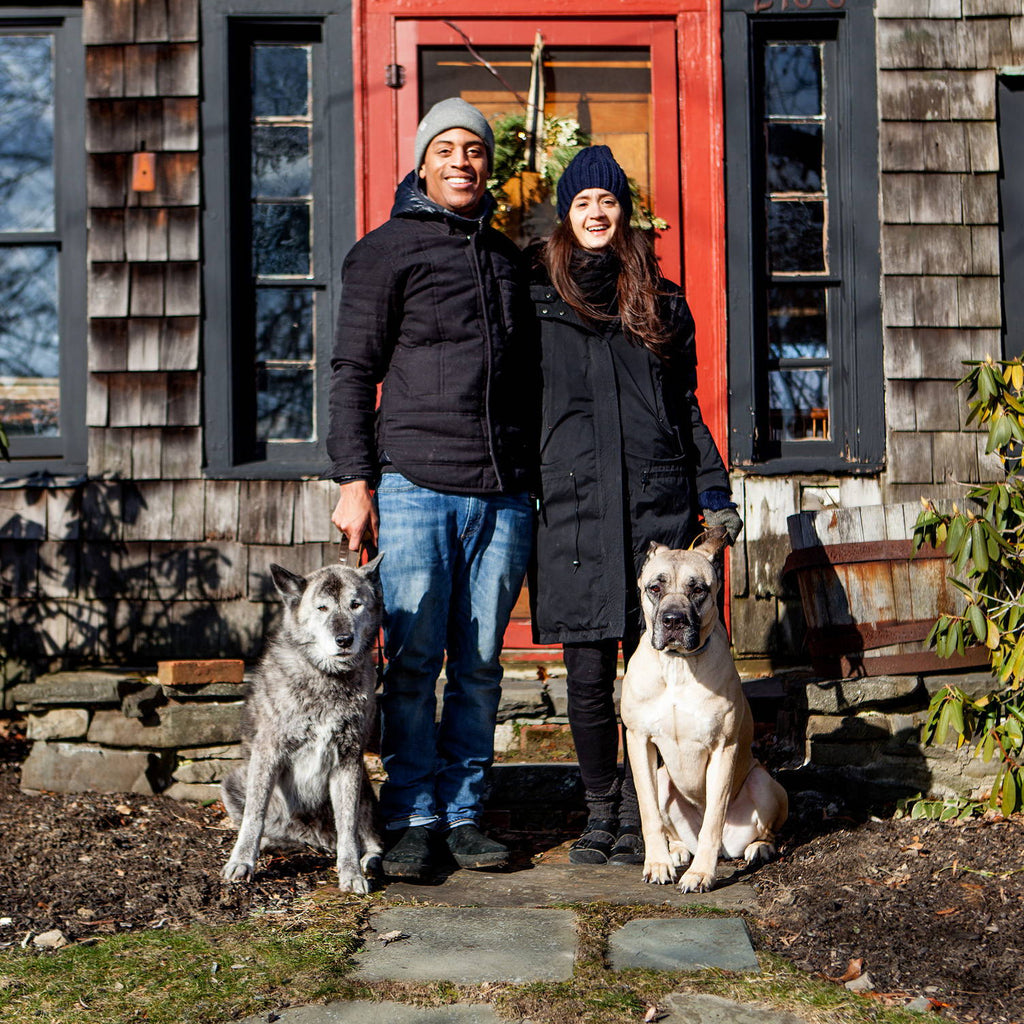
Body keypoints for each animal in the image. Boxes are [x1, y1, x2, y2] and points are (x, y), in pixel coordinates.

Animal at [220, 557, 385, 892]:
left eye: (356, 604)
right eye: (322, 608)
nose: (344, 640)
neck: (326, 677)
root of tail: (315, 841)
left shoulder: (349, 759)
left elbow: (348, 826)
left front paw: (351, 872)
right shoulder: (268, 752)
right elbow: (254, 816)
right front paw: (242, 861)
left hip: (364, 787)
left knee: (370, 839)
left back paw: (369, 860)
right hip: (234, 781)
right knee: (268, 828)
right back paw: (268, 844)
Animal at [618, 532, 786, 892]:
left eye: (698, 590)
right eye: (655, 587)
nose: (673, 620)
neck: (678, 666)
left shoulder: (724, 747)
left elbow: (713, 818)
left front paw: (701, 874)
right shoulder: (639, 741)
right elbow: (649, 813)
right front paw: (657, 863)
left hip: (764, 783)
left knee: (762, 831)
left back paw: (759, 849)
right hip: (663, 778)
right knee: (671, 824)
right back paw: (678, 850)